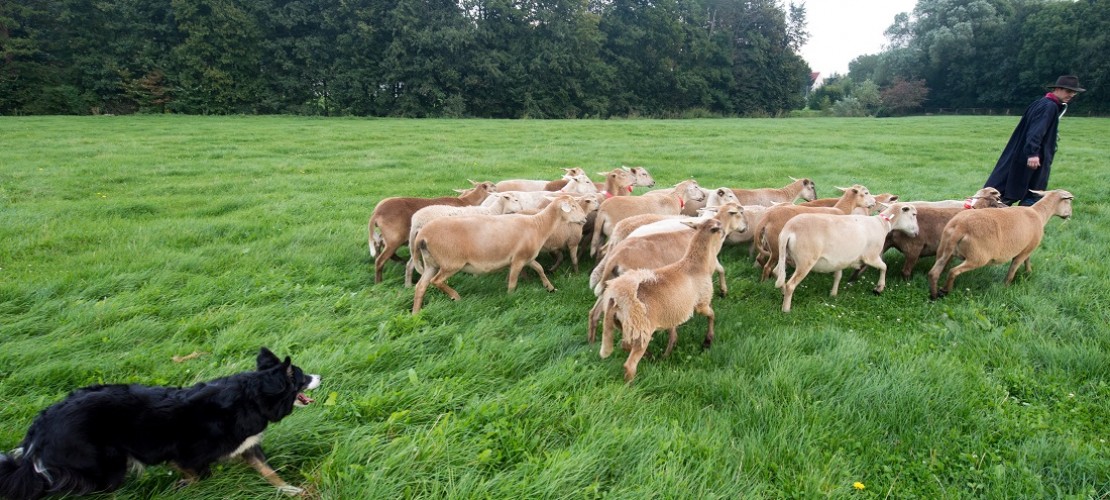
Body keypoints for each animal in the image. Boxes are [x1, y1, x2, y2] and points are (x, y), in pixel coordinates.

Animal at [368, 180, 497, 283]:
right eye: (493, 186)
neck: (465, 201)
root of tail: (376, 213)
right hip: (394, 238)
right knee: (380, 260)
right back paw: (379, 282)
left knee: (379, 247)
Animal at [411, 195, 587, 314]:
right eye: (573, 206)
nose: (585, 219)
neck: (538, 225)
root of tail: (422, 235)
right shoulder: (518, 259)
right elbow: (513, 281)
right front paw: (510, 298)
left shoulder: (527, 257)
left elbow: (540, 269)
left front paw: (550, 287)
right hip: (451, 262)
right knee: (436, 281)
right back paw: (456, 297)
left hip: (431, 263)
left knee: (421, 286)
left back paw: (415, 312)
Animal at [588, 217, 727, 382]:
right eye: (718, 227)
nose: (725, 232)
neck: (693, 263)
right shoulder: (701, 302)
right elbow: (712, 314)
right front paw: (707, 340)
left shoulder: (673, 308)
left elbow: (674, 329)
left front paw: (669, 350)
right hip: (642, 329)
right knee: (629, 363)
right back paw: (633, 382)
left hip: (621, 316)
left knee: (619, 339)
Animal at [774, 203, 920, 313]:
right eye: (913, 214)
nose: (917, 233)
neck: (883, 224)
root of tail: (789, 229)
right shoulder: (871, 256)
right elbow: (884, 267)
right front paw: (879, 288)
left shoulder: (839, 259)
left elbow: (838, 276)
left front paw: (833, 294)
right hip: (806, 260)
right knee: (790, 285)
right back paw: (786, 309)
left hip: (785, 256)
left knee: (777, 273)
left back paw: (782, 293)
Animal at [927, 189, 1074, 300]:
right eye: (1068, 201)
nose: (1070, 215)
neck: (1039, 213)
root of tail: (960, 227)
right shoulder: (1025, 250)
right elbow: (1013, 269)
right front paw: (1006, 286)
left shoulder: (1026, 247)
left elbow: (1027, 260)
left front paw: (1028, 273)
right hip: (978, 257)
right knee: (953, 271)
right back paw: (945, 290)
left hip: (944, 250)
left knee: (934, 272)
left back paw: (934, 295)